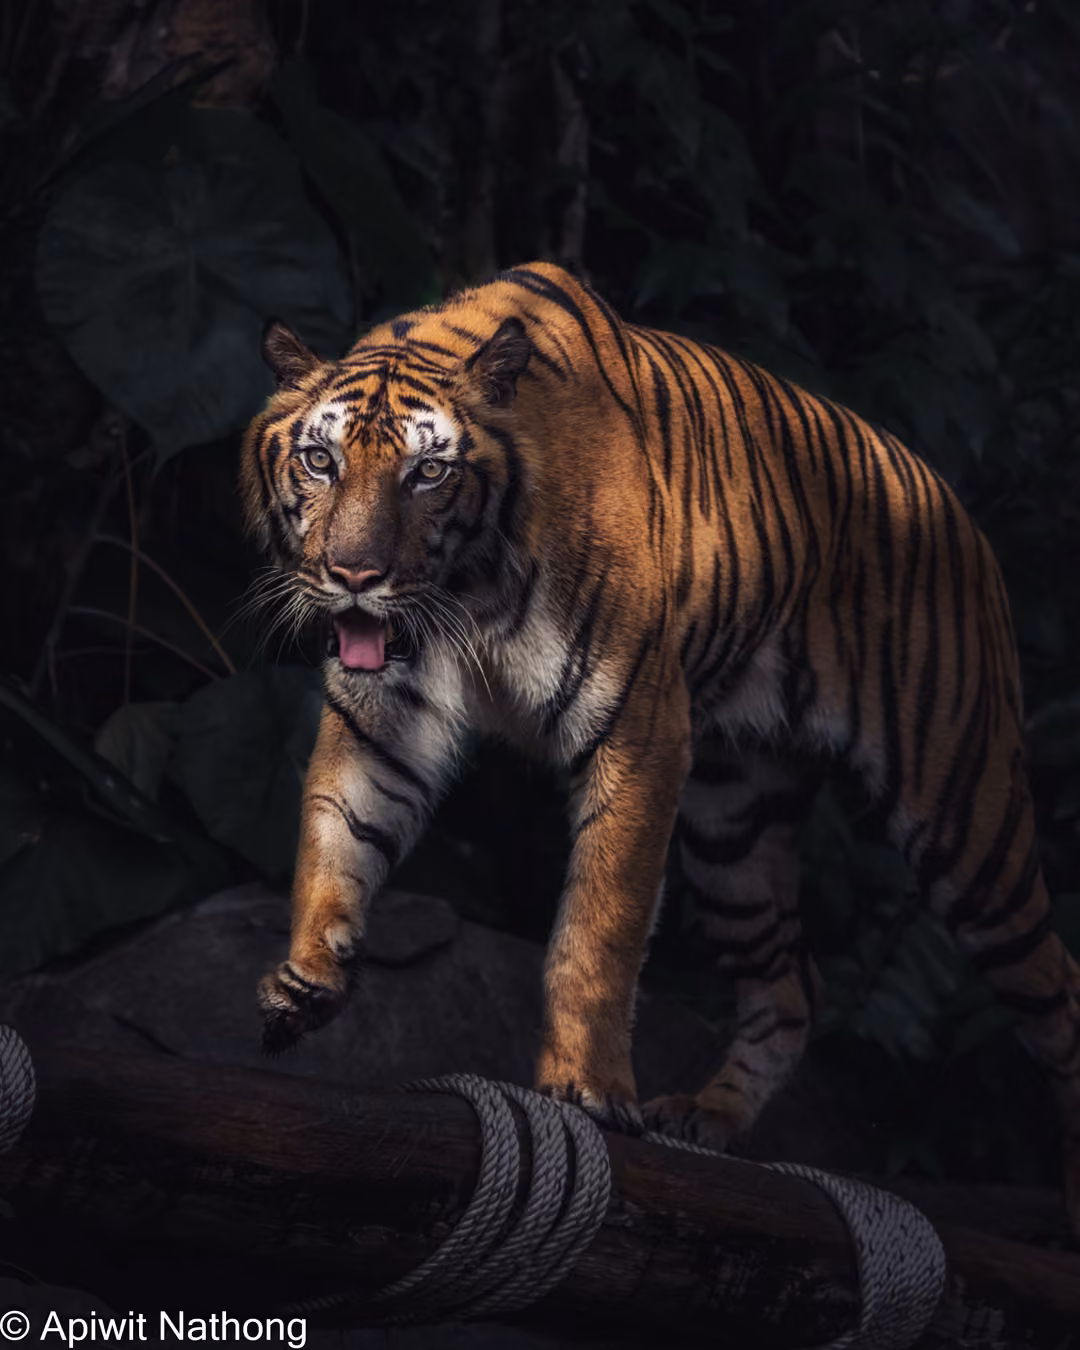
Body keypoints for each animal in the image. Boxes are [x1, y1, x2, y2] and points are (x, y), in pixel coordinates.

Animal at [242, 261, 1080, 1232]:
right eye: (320, 460)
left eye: (428, 472)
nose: (353, 576)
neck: (465, 592)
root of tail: (955, 506)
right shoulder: (384, 716)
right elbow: (337, 831)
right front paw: (305, 978)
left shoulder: (638, 727)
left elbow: (601, 926)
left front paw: (586, 1089)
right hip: (733, 828)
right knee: (792, 986)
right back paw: (706, 1117)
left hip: (964, 819)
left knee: (1058, 990)